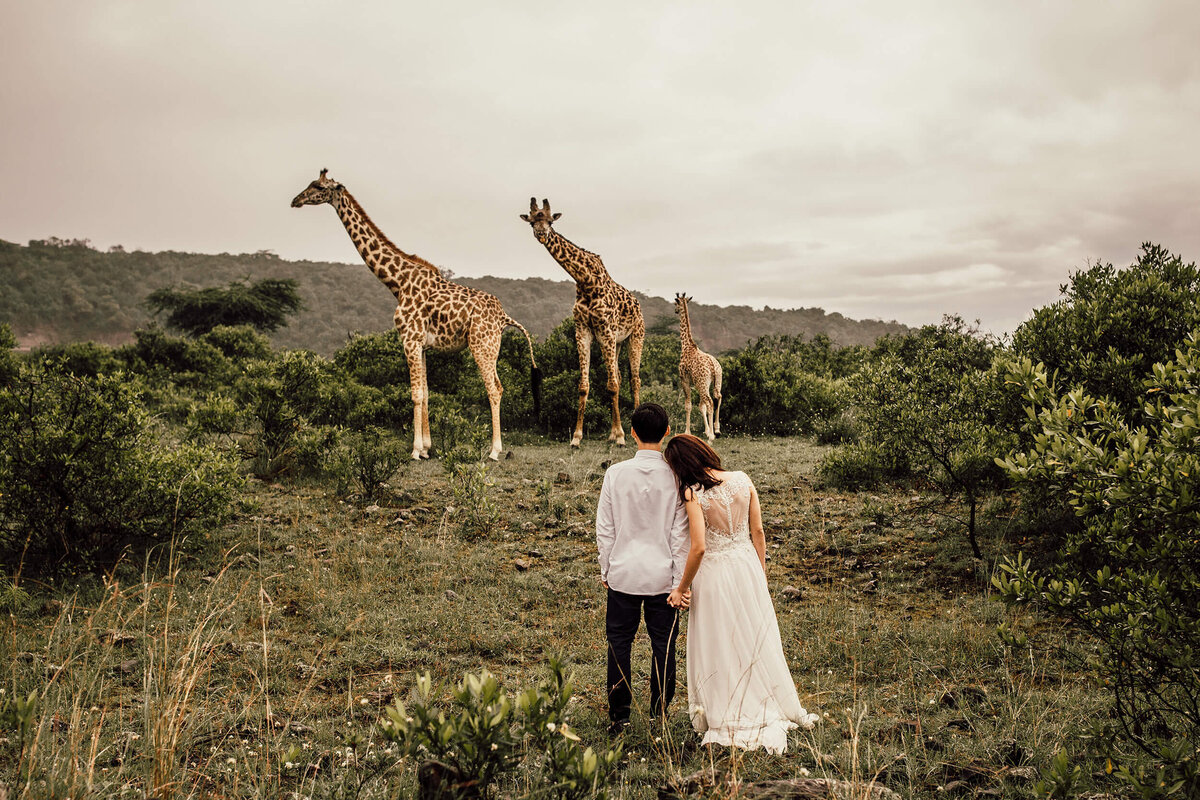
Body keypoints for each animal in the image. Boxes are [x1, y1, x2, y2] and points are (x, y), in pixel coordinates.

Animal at [290, 169, 540, 462]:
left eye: (318, 187)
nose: (296, 200)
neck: (398, 282)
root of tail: (504, 317)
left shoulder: (409, 339)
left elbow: (415, 393)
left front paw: (415, 450)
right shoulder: (421, 344)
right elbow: (427, 392)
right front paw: (427, 448)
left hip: (482, 346)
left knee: (494, 389)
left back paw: (494, 451)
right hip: (490, 347)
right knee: (498, 386)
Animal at [520, 196, 643, 448]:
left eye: (550, 221)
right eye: (532, 222)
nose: (541, 234)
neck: (585, 280)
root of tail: (638, 305)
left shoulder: (605, 329)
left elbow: (612, 385)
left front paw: (622, 437)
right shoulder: (583, 330)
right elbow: (584, 386)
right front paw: (577, 437)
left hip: (635, 337)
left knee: (634, 379)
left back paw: (630, 430)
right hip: (617, 342)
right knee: (618, 375)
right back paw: (611, 433)